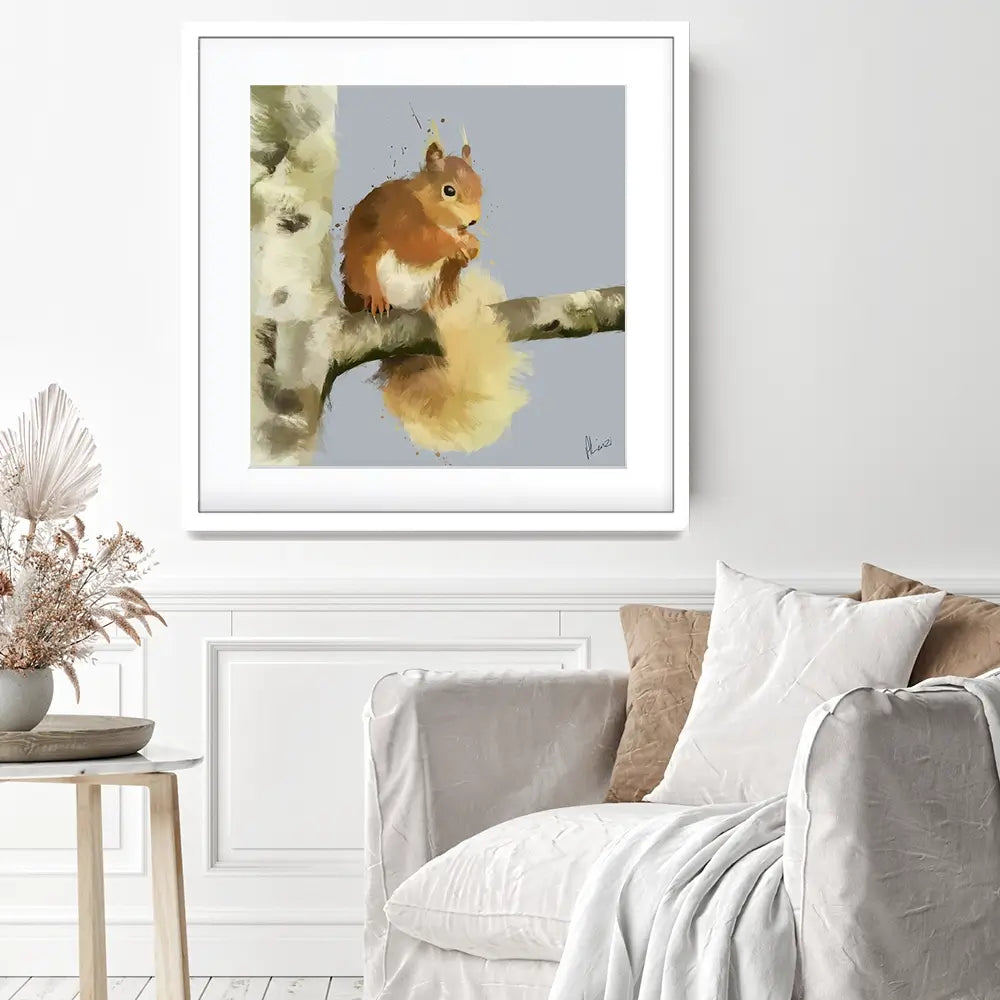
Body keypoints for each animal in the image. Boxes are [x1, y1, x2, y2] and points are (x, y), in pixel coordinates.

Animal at [339, 138, 528, 453]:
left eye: (480, 184)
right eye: (448, 190)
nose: (473, 221)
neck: (426, 207)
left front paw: (471, 246)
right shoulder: (401, 220)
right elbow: (420, 243)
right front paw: (458, 243)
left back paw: (433, 305)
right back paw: (377, 300)